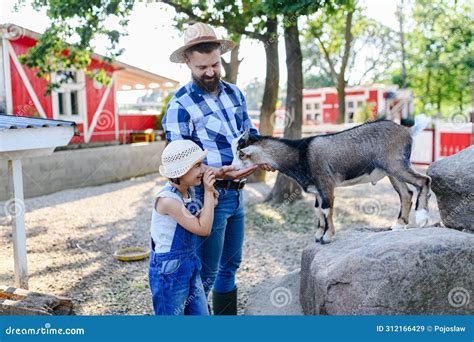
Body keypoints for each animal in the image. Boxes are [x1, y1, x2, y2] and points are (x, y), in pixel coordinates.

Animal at [231, 117, 432, 243]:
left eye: (241, 154)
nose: (232, 168)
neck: (300, 153)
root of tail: (408, 132)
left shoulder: (326, 184)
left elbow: (327, 210)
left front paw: (327, 237)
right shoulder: (317, 190)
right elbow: (318, 210)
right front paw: (319, 235)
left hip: (396, 164)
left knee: (423, 180)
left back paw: (422, 218)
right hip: (391, 171)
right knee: (406, 194)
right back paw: (398, 225)